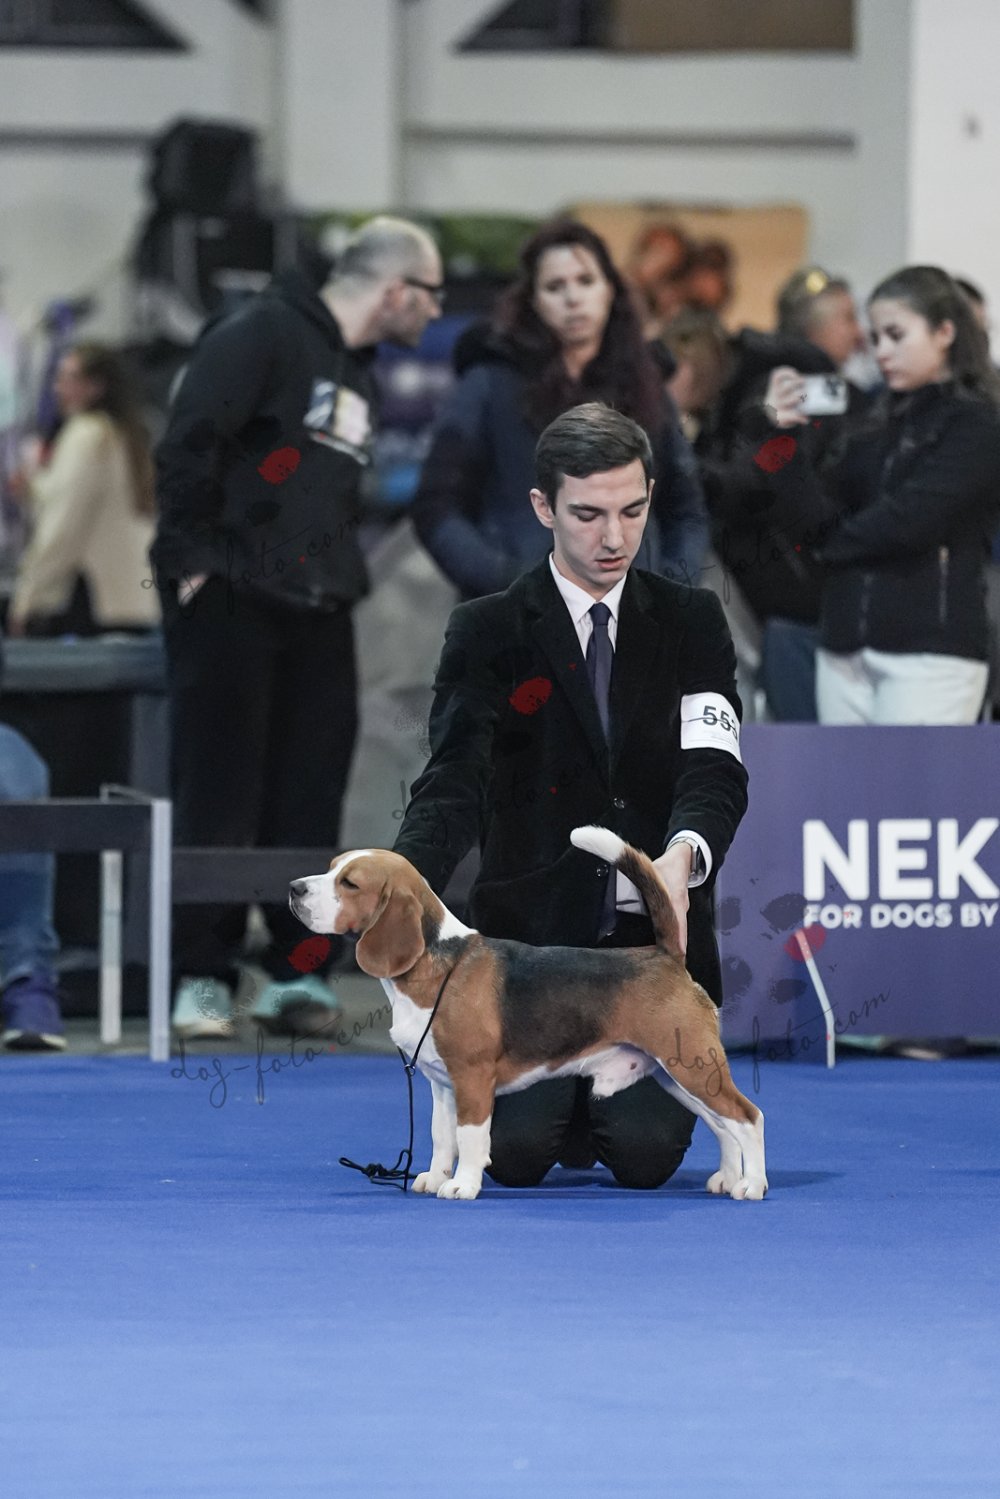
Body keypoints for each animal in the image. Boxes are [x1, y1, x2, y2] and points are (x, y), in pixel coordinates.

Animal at [289, 827, 766, 1202]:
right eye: (331, 867)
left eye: (350, 883)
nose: (295, 888)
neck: (438, 962)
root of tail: (665, 955)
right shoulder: (442, 1084)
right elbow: (443, 1137)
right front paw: (434, 1178)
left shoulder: (472, 1078)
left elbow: (470, 1136)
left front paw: (462, 1185)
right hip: (677, 1076)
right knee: (723, 1127)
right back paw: (727, 1178)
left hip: (692, 1067)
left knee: (748, 1118)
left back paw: (752, 1185)